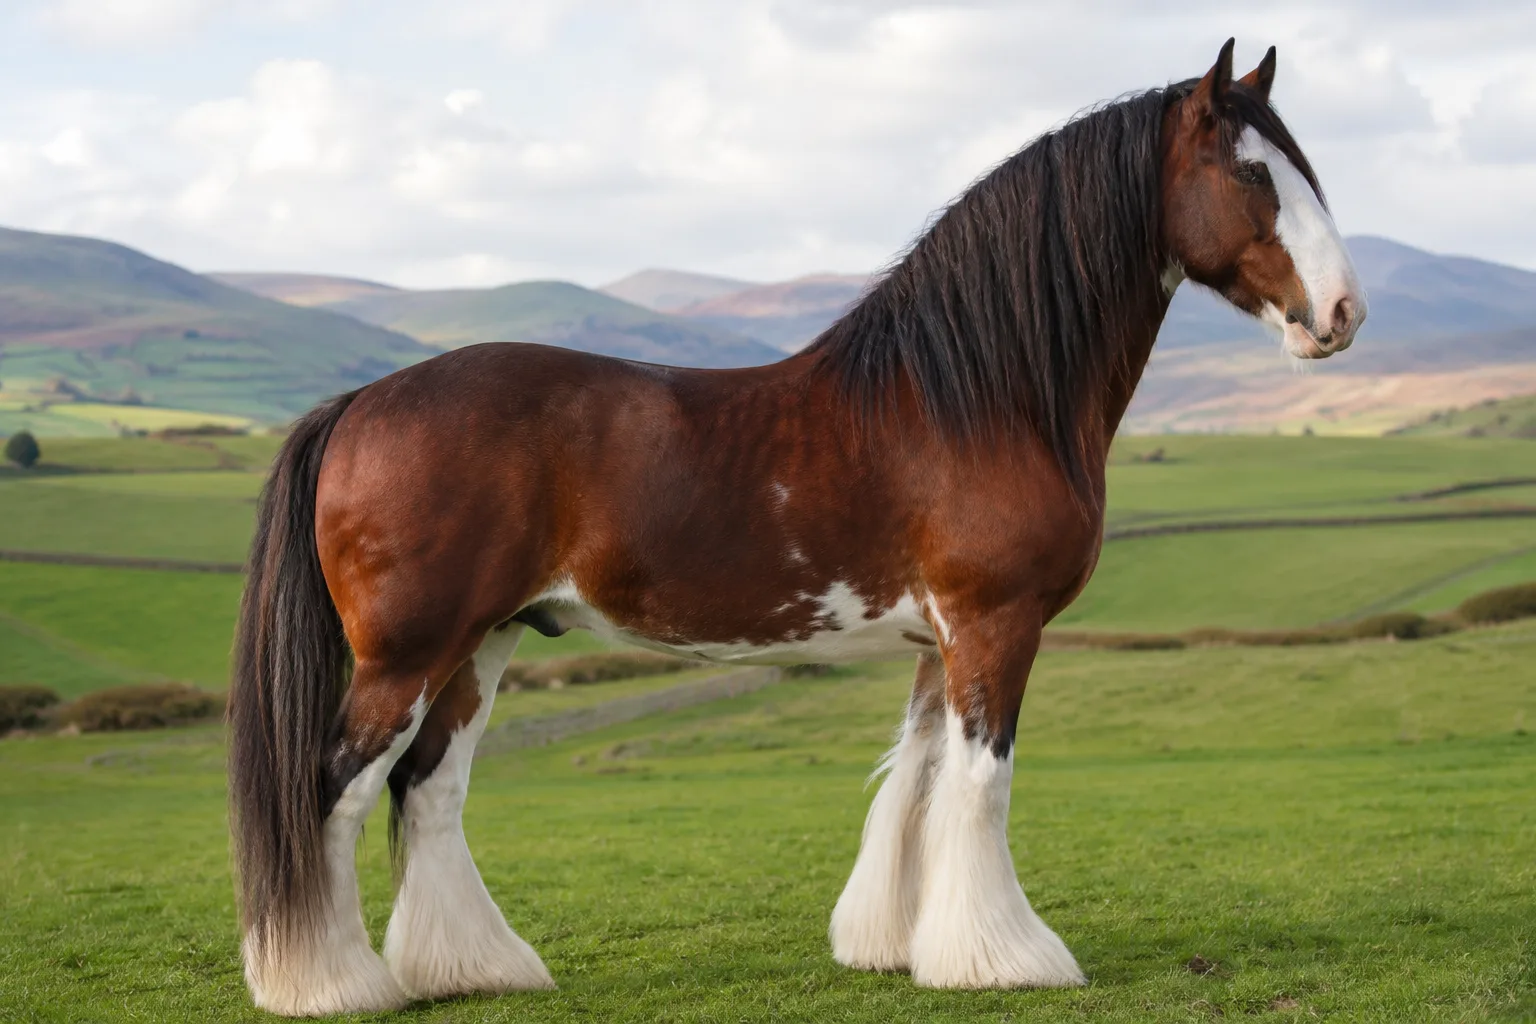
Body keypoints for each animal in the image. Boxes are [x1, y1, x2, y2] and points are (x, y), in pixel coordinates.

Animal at [227, 39, 1365, 1016]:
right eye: (1253, 173)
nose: (1344, 314)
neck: (974, 397)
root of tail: (360, 403)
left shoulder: (938, 640)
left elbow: (917, 785)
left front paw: (900, 945)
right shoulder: (995, 624)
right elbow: (980, 787)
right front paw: (1004, 958)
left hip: (487, 639)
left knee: (428, 790)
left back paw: (476, 969)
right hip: (408, 653)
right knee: (332, 793)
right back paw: (331, 985)